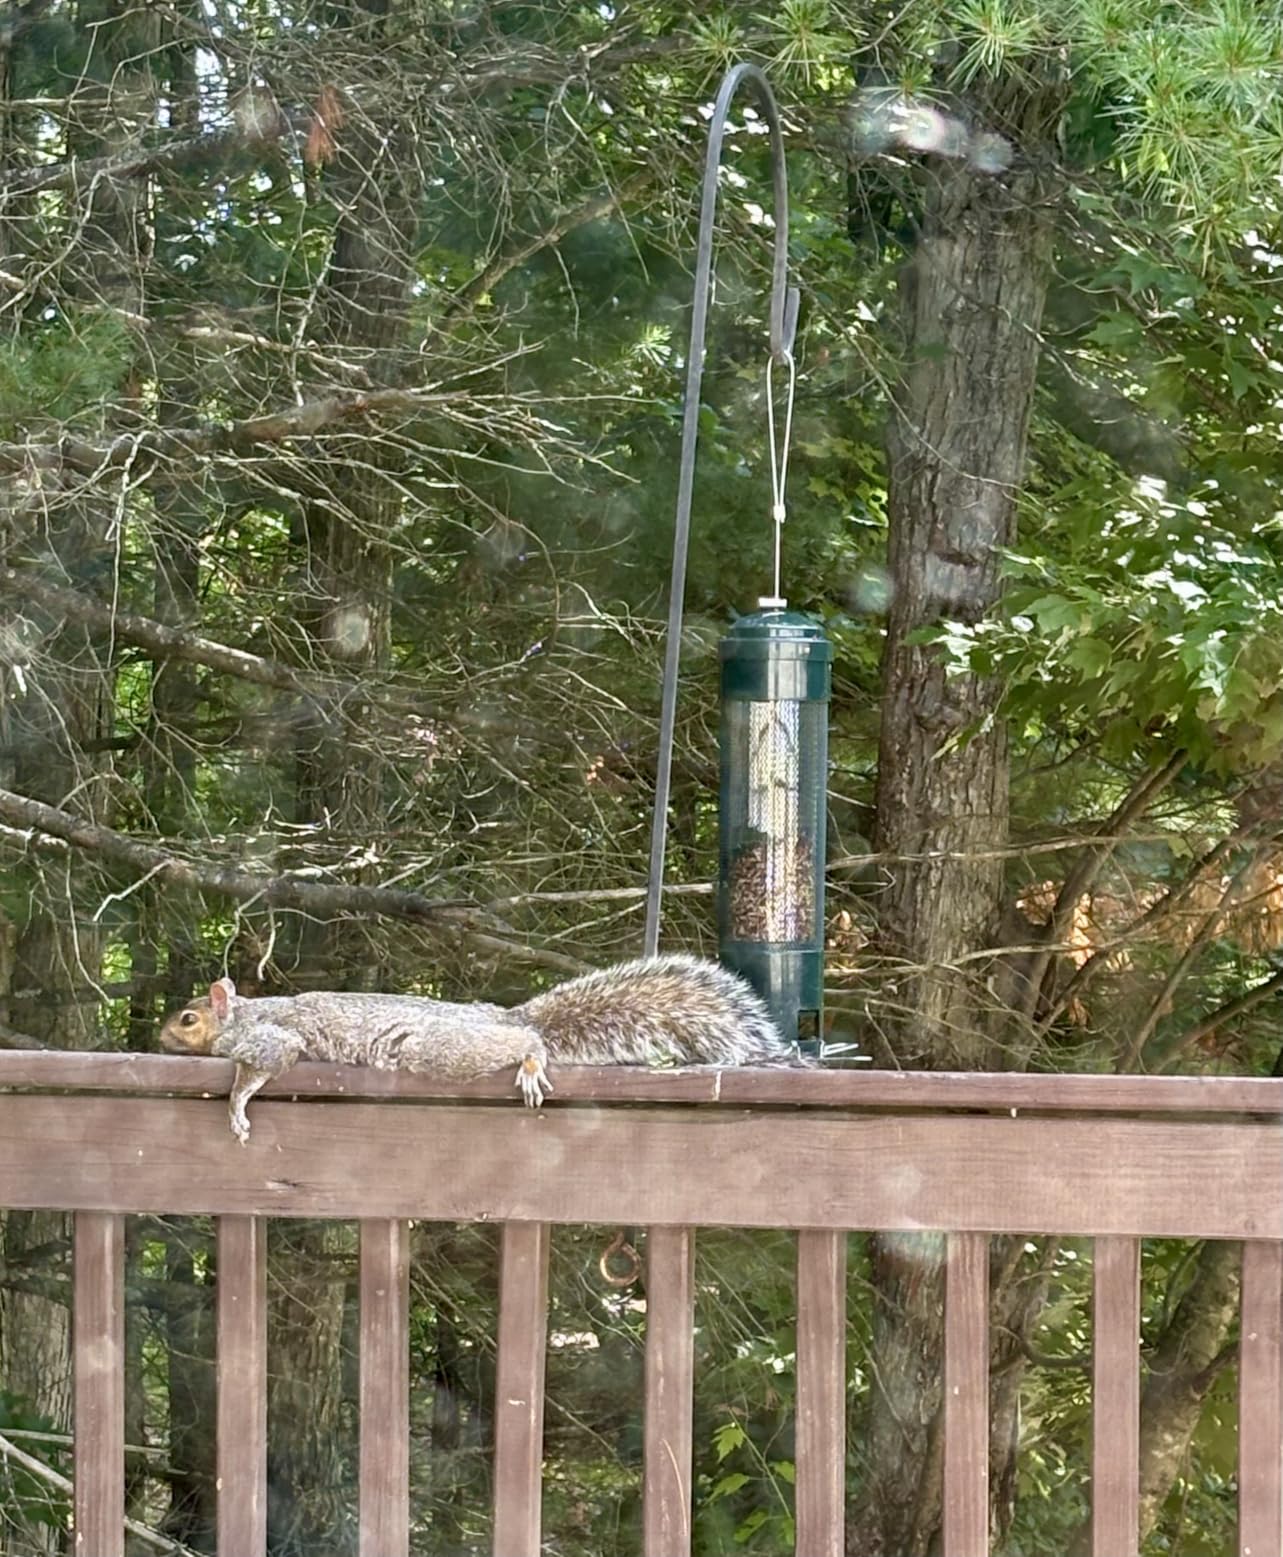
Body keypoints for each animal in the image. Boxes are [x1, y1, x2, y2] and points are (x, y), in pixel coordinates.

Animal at [158, 953, 808, 1144]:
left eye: (188, 1018)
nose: (158, 1035)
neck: (243, 1013)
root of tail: (504, 1013)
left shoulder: (269, 1037)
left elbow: (264, 1063)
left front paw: (238, 1107)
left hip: (436, 1049)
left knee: (525, 1039)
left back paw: (530, 1059)